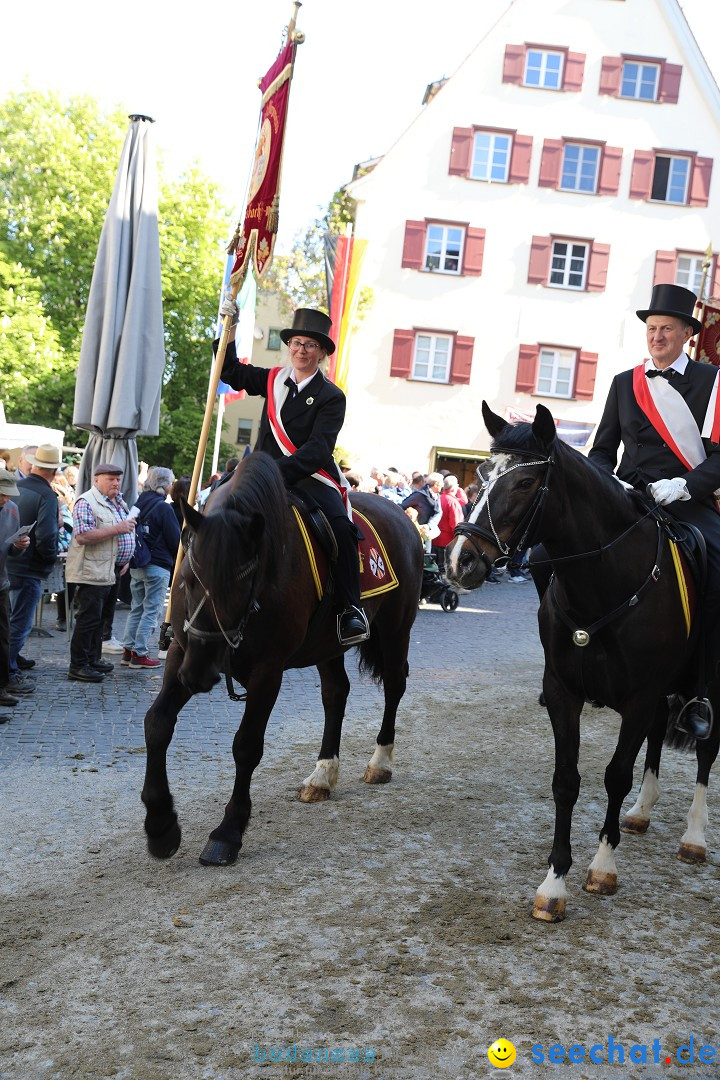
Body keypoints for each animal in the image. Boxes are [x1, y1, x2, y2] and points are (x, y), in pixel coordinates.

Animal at [140, 451, 423, 864]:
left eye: (241, 583)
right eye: (190, 578)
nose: (200, 674)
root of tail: (402, 515)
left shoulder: (267, 670)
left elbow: (246, 746)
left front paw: (228, 832)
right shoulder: (181, 651)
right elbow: (157, 723)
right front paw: (160, 824)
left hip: (394, 629)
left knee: (394, 685)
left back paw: (380, 762)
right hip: (327, 645)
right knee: (336, 693)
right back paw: (322, 775)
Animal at [446, 401, 716, 924]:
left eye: (525, 483)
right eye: (483, 474)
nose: (459, 561)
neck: (603, 582)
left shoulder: (639, 696)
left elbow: (615, 775)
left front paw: (603, 867)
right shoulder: (563, 692)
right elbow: (566, 781)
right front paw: (554, 883)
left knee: (707, 748)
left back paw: (694, 835)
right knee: (659, 734)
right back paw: (643, 811)